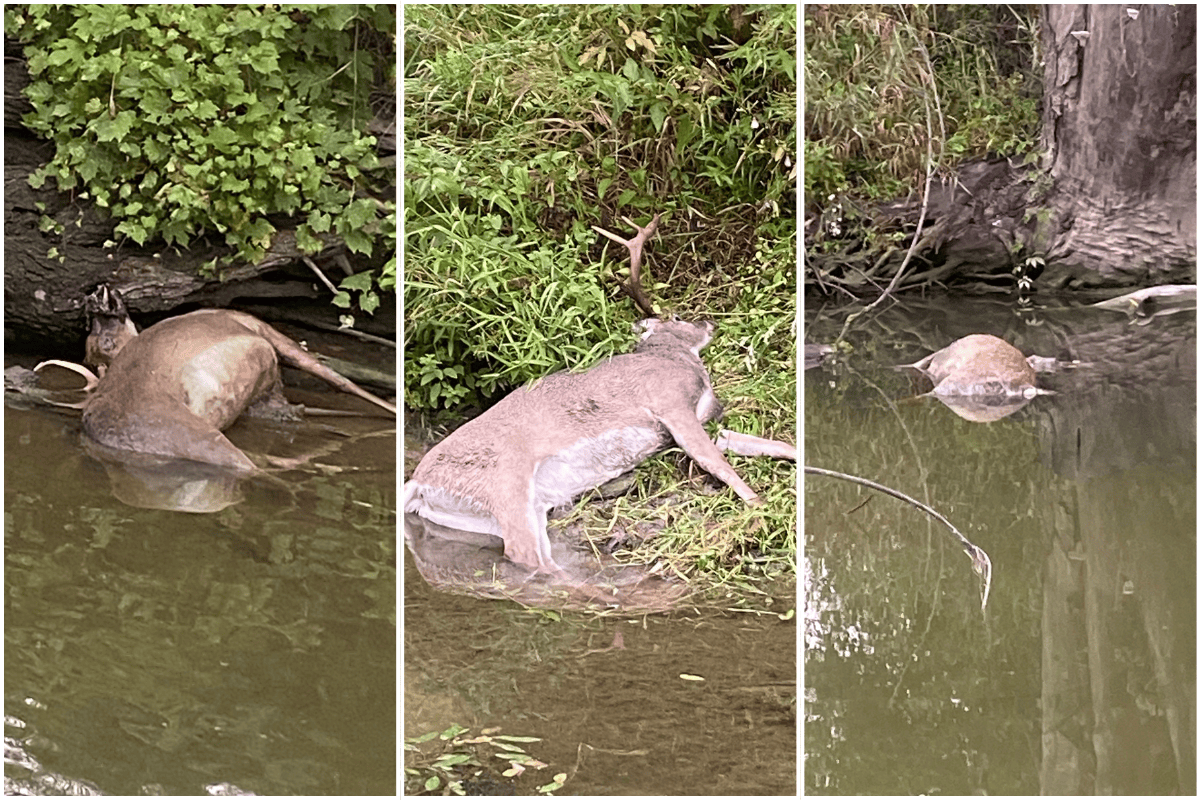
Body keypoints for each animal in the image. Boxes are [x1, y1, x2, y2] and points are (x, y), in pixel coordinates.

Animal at [402, 216, 764, 573]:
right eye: (678, 316)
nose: (710, 323)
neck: (671, 359)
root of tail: (416, 483)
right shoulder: (669, 401)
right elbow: (715, 462)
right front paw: (759, 508)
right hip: (506, 485)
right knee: (524, 555)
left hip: (509, 511)